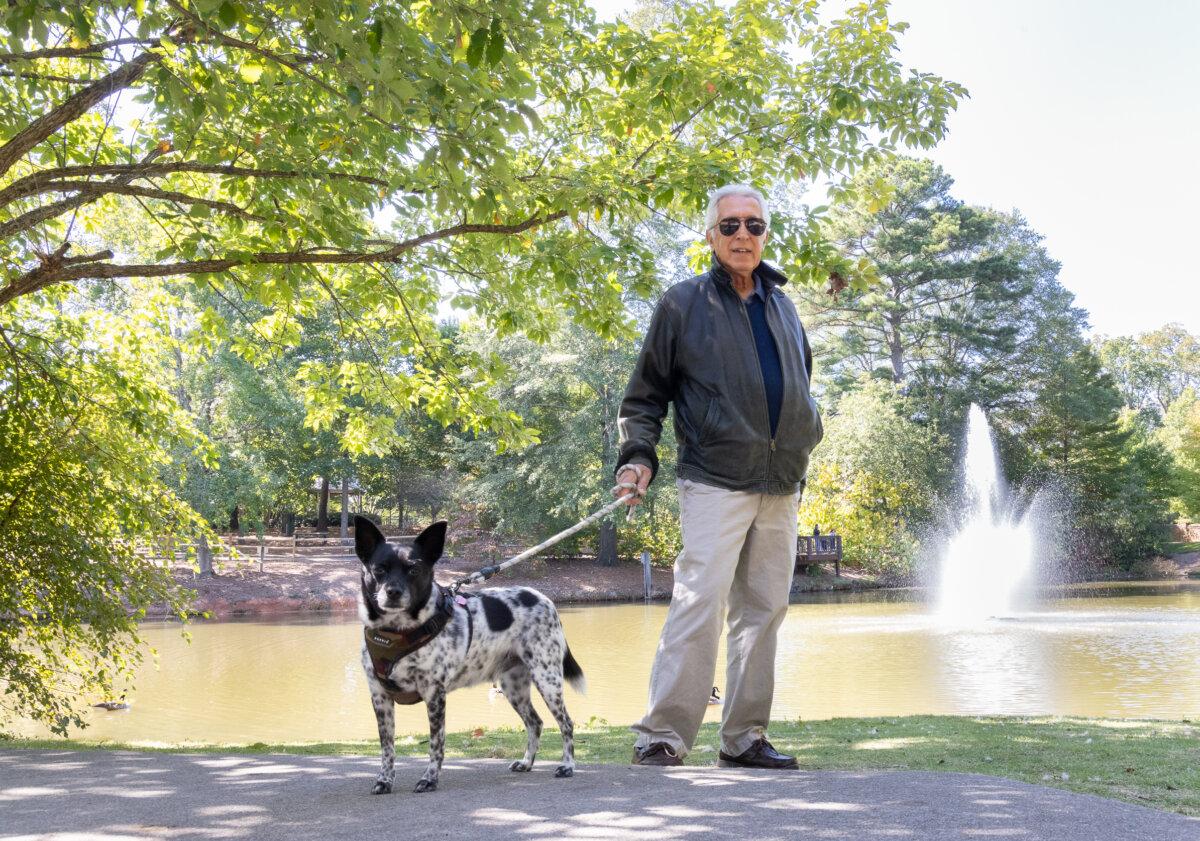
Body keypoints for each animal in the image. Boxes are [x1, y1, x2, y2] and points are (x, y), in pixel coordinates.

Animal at [350, 511, 585, 791]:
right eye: (379, 569)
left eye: (414, 569)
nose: (393, 592)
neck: (396, 633)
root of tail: (545, 599)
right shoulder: (380, 696)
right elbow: (387, 747)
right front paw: (384, 780)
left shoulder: (434, 694)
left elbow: (436, 744)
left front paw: (429, 778)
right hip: (513, 685)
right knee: (535, 722)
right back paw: (527, 762)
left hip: (547, 678)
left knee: (566, 723)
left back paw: (568, 765)